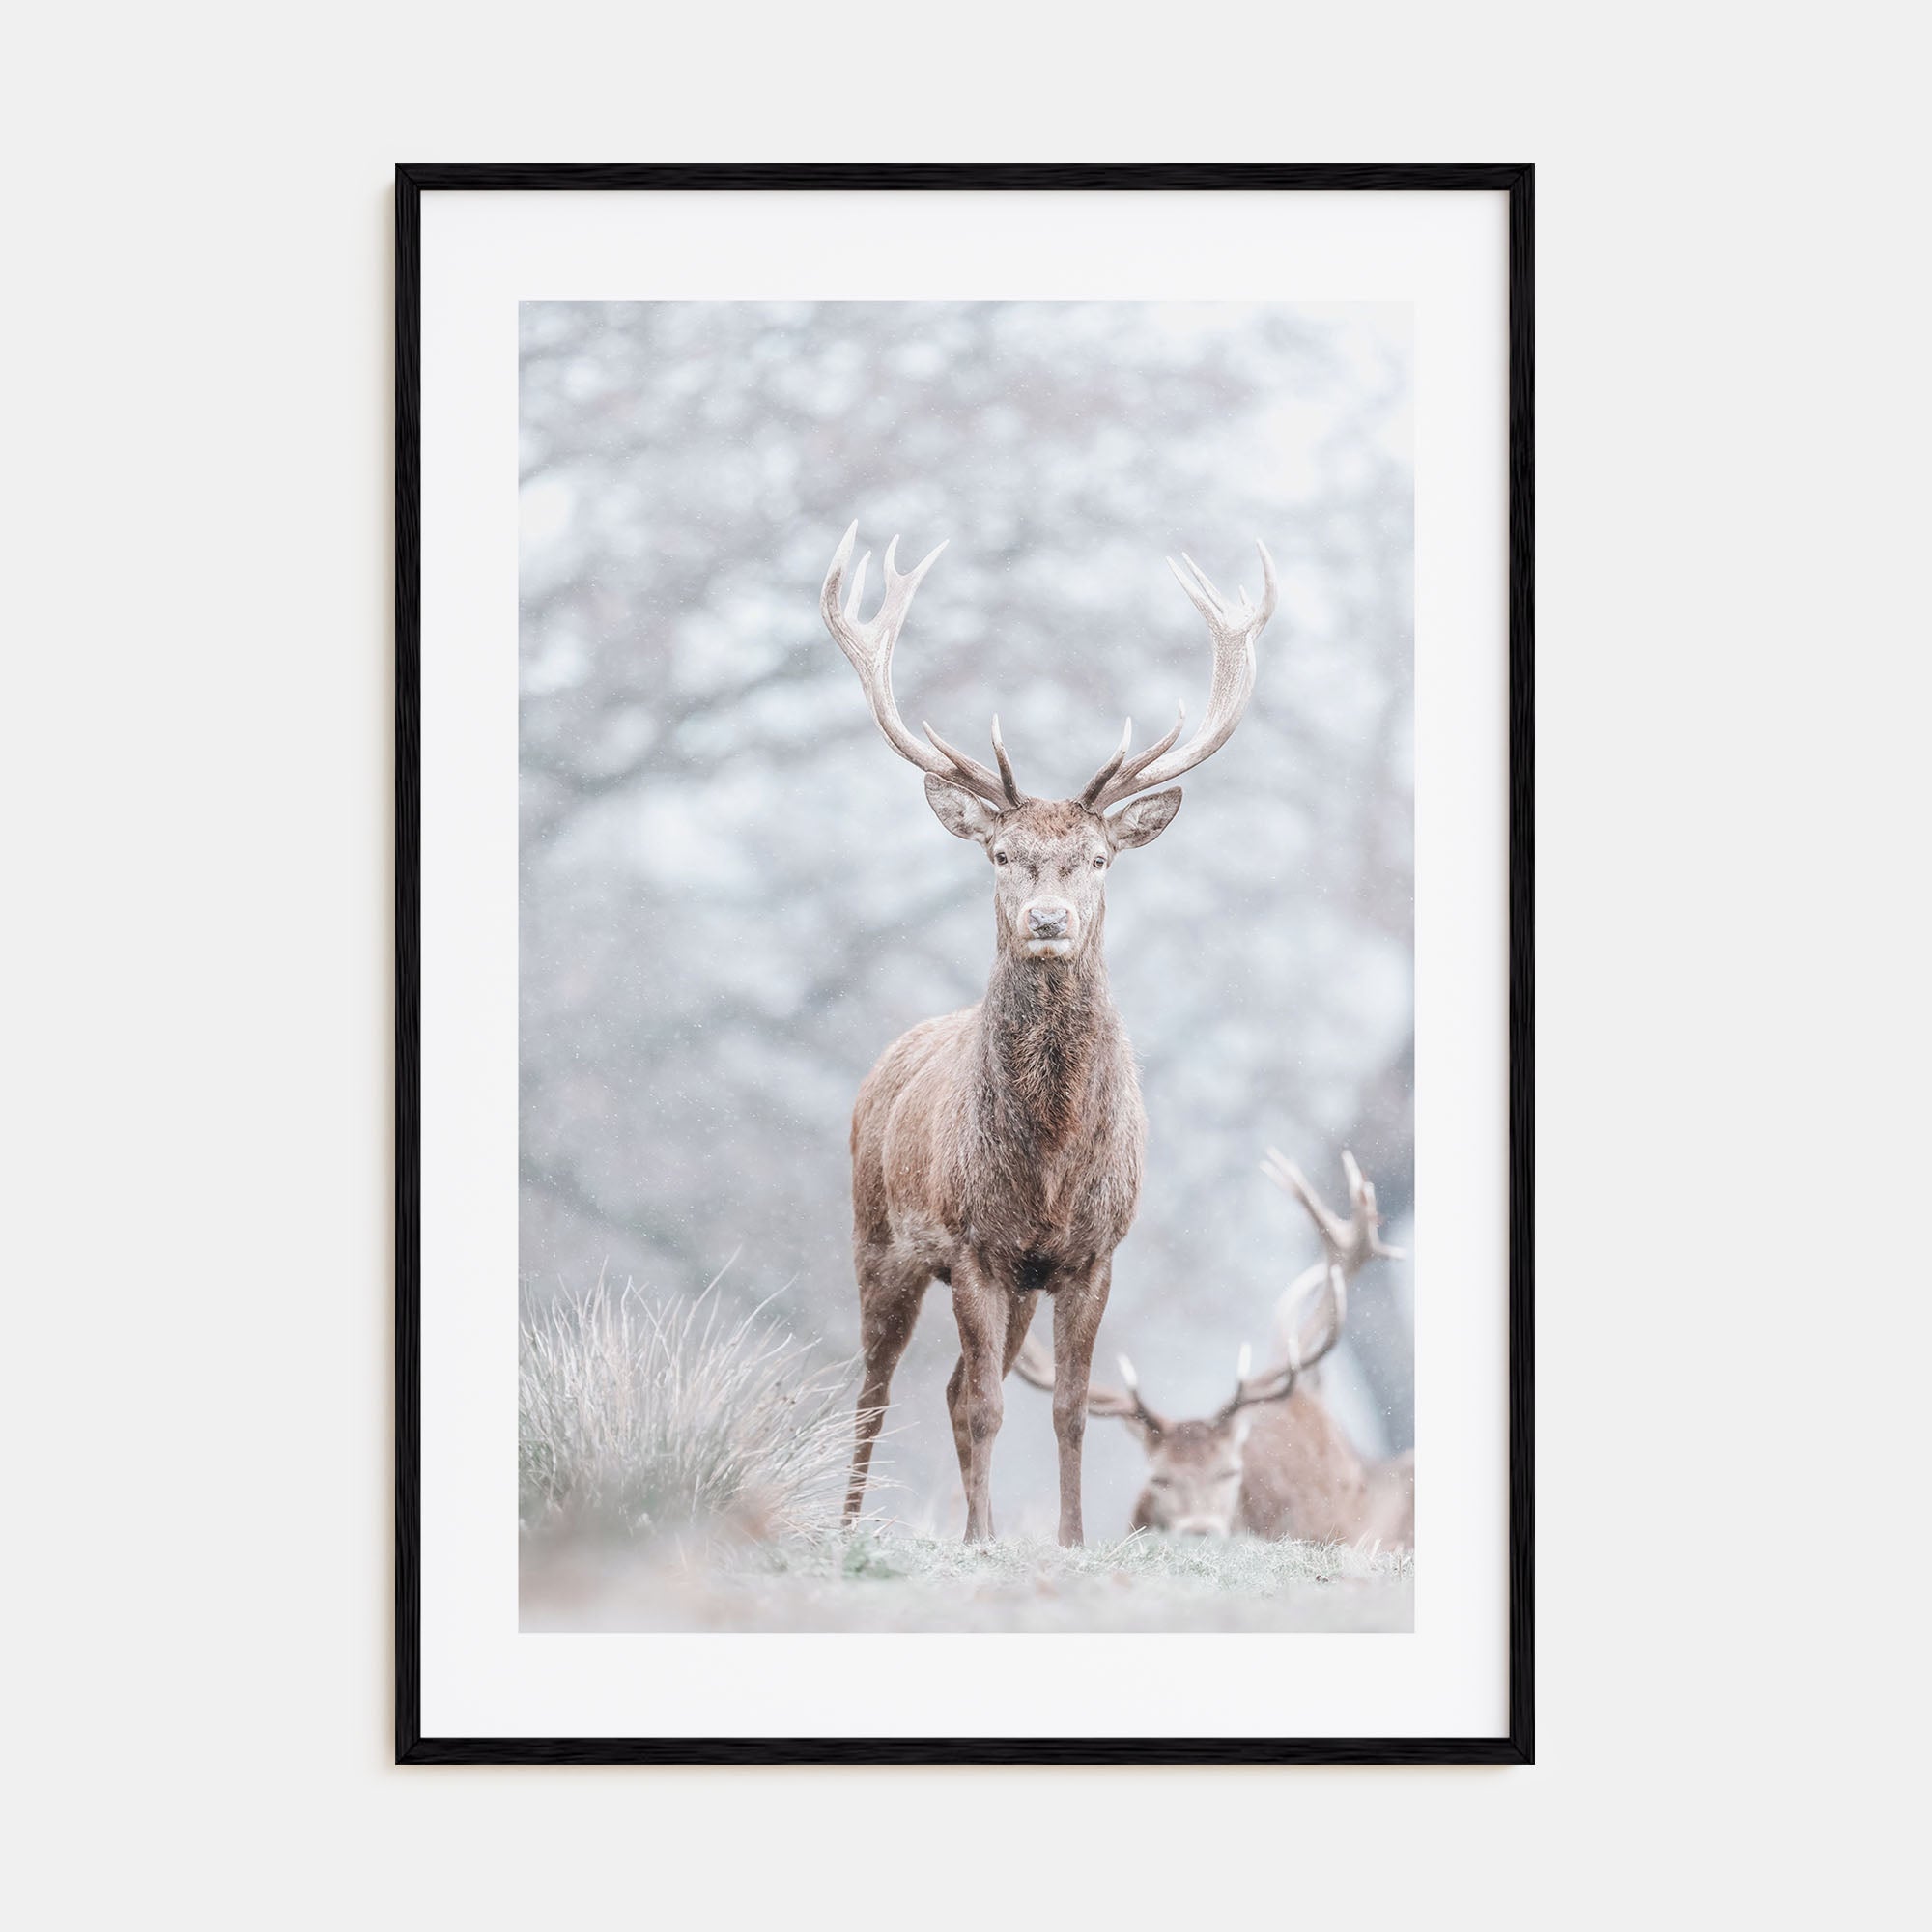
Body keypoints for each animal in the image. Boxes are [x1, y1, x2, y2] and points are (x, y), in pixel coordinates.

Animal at [823, 522, 1278, 1545]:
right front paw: (987, 1543)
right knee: (879, 1389)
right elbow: (991, 1408)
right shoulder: (972, 1245)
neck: (1050, 1160)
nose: (1046, 920)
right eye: (1003, 853)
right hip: (879, 1238)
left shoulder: (1090, 1253)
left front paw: (1068, 1540)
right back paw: (853, 1523)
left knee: (951, 1388)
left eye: (1099, 858)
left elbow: (1067, 1409)